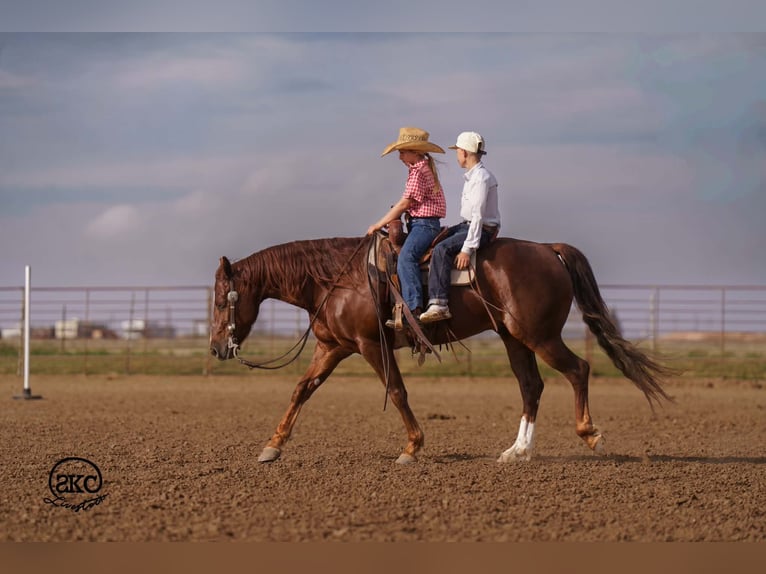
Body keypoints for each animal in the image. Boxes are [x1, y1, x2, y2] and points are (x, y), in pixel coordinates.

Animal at [209, 235, 673, 464]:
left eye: (219, 300)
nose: (215, 348)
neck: (335, 279)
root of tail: (548, 250)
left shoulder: (369, 345)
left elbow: (397, 392)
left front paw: (412, 447)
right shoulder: (333, 347)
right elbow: (301, 390)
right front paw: (272, 446)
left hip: (540, 336)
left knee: (578, 370)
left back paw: (589, 434)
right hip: (514, 339)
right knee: (531, 387)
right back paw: (517, 452)